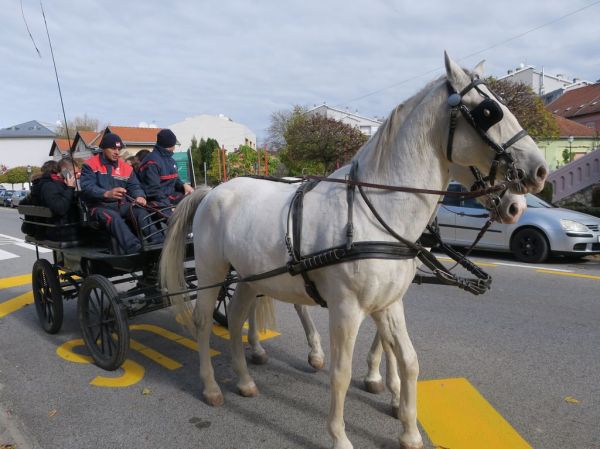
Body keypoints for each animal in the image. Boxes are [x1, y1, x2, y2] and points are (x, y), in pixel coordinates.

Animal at [161, 54, 548, 448]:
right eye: (489, 111)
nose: (539, 171)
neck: (374, 212)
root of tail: (212, 190)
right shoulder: (346, 309)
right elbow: (342, 373)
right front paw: (340, 435)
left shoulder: (389, 302)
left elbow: (408, 359)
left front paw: (408, 427)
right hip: (212, 273)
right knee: (204, 322)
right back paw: (212, 387)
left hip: (251, 276)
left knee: (239, 316)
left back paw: (244, 379)